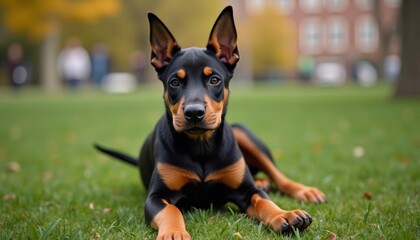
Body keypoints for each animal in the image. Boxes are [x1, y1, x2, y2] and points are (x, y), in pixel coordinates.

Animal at [95, 6, 324, 240]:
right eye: (174, 82)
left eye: (214, 79)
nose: (194, 113)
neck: (201, 145)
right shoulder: (157, 196)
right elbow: (171, 210)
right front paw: (174, 232)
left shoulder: (246, 190)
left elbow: (264, 201)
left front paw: (284, 215)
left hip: (242, 132)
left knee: (278, 176)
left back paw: (303, 190)